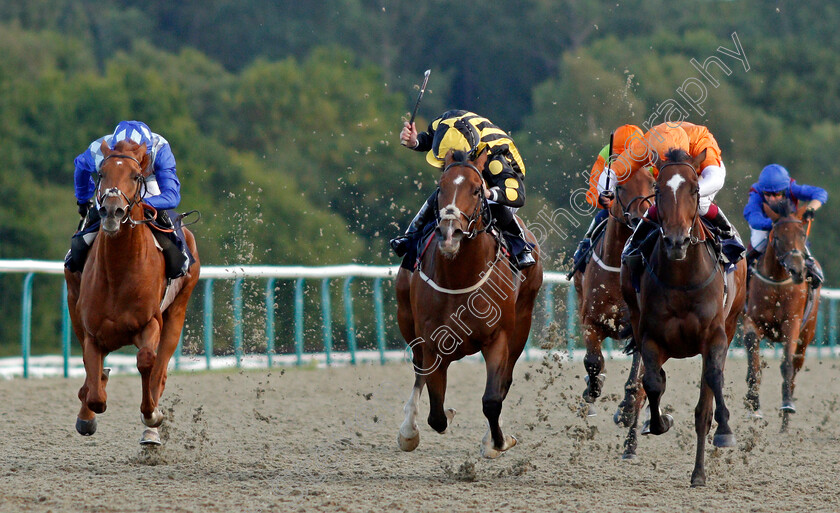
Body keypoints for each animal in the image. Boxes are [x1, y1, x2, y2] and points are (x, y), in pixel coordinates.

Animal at [65, 139, 200, 444]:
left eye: (136, 176)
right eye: (101, 174)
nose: (111, 211)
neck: (119, 271)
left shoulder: (150, 323)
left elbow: (147, 362)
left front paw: (151, 416)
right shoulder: (91, 331)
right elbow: (94, 390)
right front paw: (88, 411)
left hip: (177, 312)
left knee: (159, 371)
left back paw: (151, 431)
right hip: (73, 303)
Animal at [396, 148, 540, 456]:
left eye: (476, 190)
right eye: (440, 188)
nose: (449, 234)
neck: (459, 279)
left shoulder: (499, 337)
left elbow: (492, 400)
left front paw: (497, 442)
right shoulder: (432, 341)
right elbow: (436, 413)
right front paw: (437, 419)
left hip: (522, 324)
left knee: (505, 380)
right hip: (407, 320)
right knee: (418, 371)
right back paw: (408, 431)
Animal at [576, 166, 660, 418]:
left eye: (653, 183)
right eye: (620, 186)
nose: (639, 217)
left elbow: (638, 371)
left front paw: (628, 407)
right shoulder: (591, 320)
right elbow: (593, 361)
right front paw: (591, 392)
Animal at [616, 148, 748, 484]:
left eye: (694, 189)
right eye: (659, 189)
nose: (677, 241)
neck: (682, 278)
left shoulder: (714, 336)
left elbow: (711, 385)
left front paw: (724, 431)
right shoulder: (651, 337)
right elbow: (651, 383)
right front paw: (660, 420)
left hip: (731, 321)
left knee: (706, 399)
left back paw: (700, 469)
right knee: (644, 383)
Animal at [740, 200, 820, 428]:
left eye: (802, 234)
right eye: (776, 237)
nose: (797, 271)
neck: (776, 284)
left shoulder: (792, 324)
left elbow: (786, 366)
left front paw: (787, 405)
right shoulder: (752, 321)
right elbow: (754, 368)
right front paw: (753, 405)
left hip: (806, 337)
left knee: (794, 371)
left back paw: (785, 424)